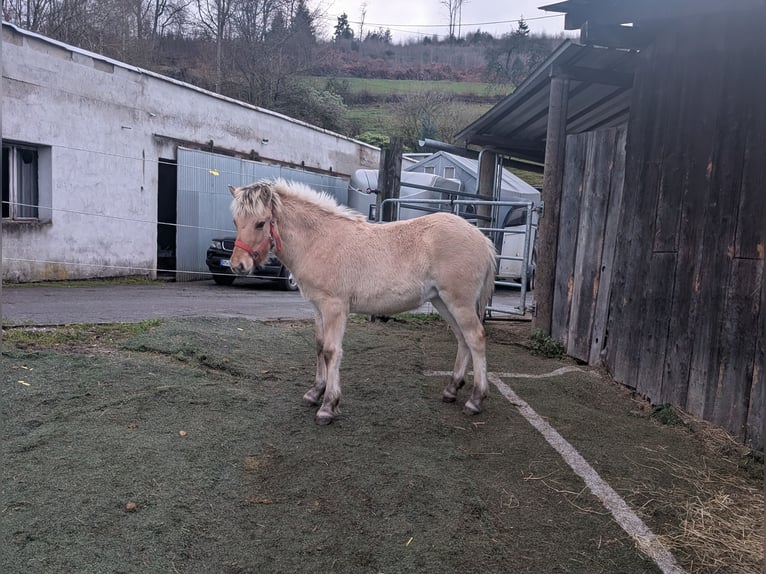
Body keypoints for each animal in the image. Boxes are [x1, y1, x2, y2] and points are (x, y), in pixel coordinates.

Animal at [228, 178, 497, 425]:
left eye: (260, 223)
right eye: (235, 222)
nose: (237, 265)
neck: (319, 241)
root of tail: (482, 239)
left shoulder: (334, 307)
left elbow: (331, 351)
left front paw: (328, 406)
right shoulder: (317, 307)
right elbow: (319, 346)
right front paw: (315, 393)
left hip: (459, 302)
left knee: (475, 338)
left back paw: (475, 400)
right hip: (442, 301)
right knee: (462, 338)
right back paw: (451, 389)